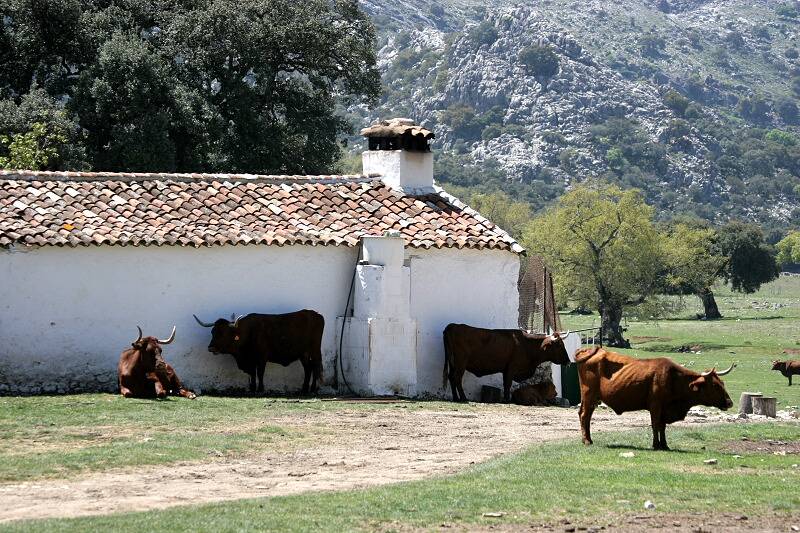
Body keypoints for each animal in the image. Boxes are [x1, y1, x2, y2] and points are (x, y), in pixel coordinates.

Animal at [192, 308, 324, 394]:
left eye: (224, 334)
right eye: (213, 332)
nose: (211, 348)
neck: (247, 333)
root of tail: (316, 314)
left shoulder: (261, 357)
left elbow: (260, 373)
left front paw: (260, 389)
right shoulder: (251, 360)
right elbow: (252, 373)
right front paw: (252, 388)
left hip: (315, 351)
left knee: (315, 367)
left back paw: (313, 389)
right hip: (304, 354)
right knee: (309, 368)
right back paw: (305, 389)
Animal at [576, 344, 732, 448]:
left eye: (722, 383)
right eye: (715, 386)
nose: (730, 402)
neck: (673, 378)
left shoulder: (664, 409)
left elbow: (662, 426)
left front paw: (664, 445)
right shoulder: (655, 406)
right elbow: (656, 424)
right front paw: (656, 445)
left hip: (593, 398)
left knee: (586, 416)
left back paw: (588, 439)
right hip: (589, 395)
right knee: (584, 415)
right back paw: (587, 441)